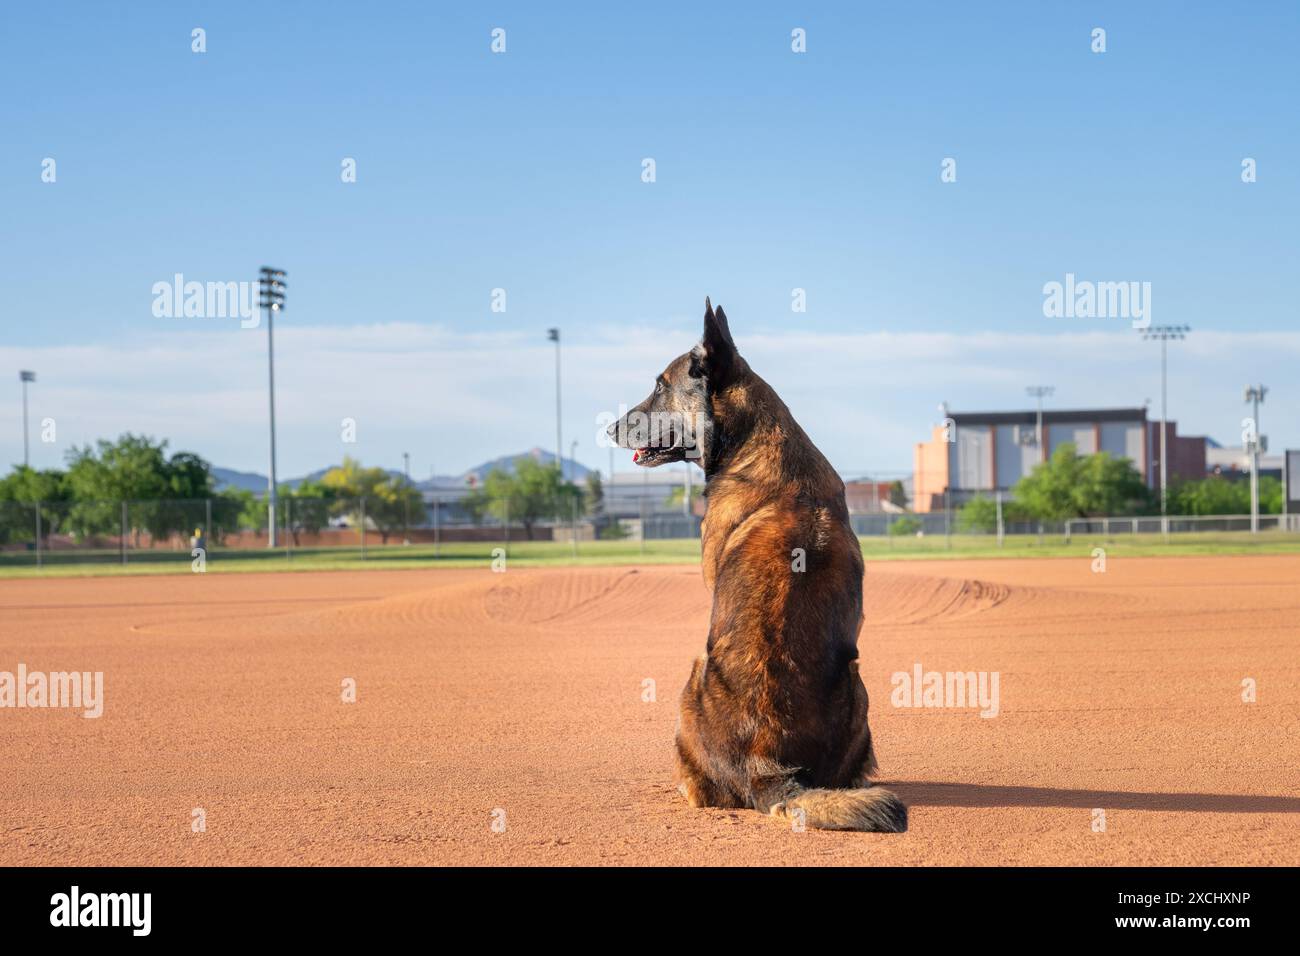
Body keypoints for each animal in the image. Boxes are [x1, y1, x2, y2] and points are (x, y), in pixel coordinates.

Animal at [605, 299, 904, 832]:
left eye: (660, 385)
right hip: (858, 683)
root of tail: (765, 768)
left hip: (694, 673)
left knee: (701, 790)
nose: (608, 428)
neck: (754, 439)